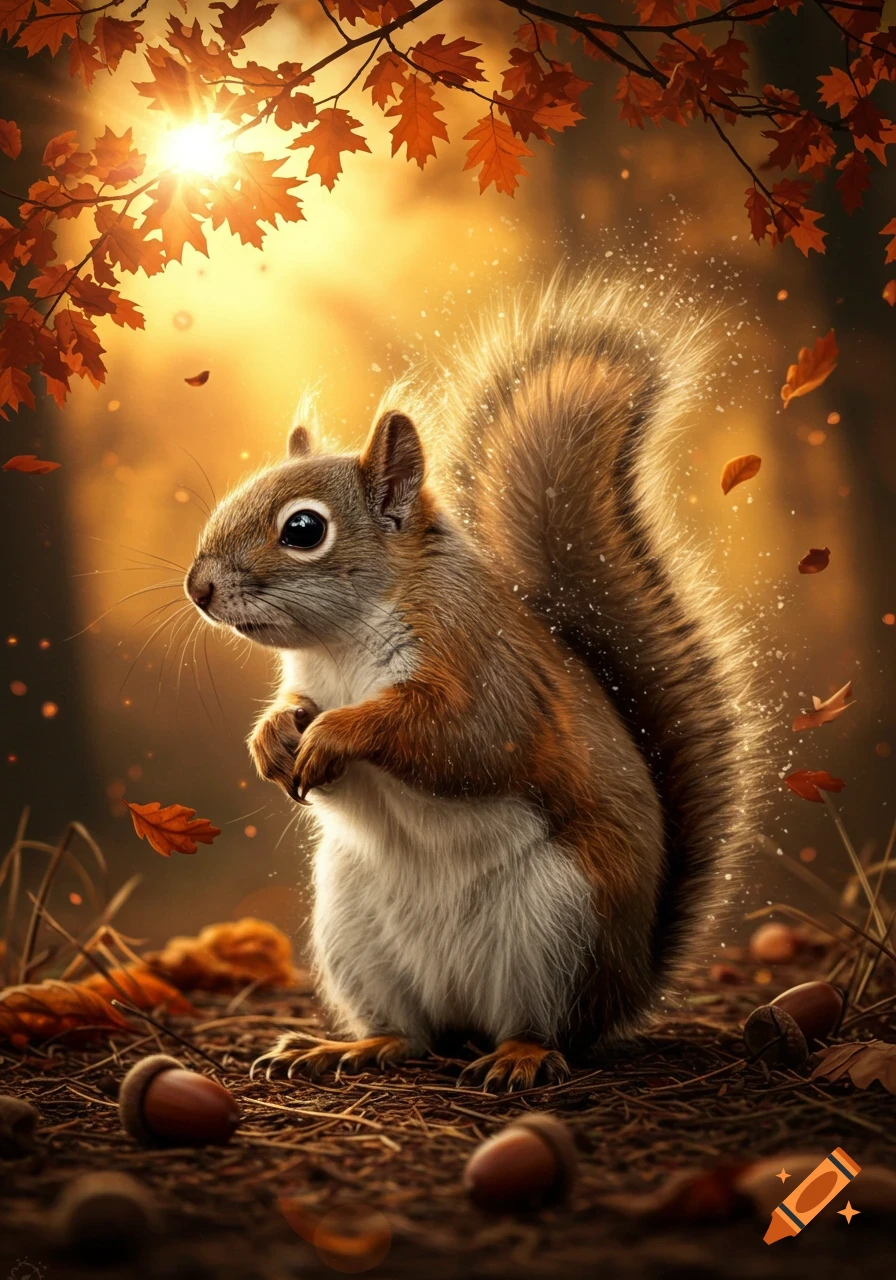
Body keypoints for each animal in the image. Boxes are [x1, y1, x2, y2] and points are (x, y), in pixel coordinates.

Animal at [185, 272, 759, 1091]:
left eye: (303, 529)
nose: (197, 587)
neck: (341, 645)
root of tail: (629, 982)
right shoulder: (311, 679)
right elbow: (295, 711)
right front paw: (271, 739)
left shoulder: (483, 671)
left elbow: (455, 737)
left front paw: (336, 734)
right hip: (354, 932)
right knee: (411, 1034)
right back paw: (351, 1047)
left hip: (561, 929)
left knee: (543, 1025)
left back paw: (519, 1057)